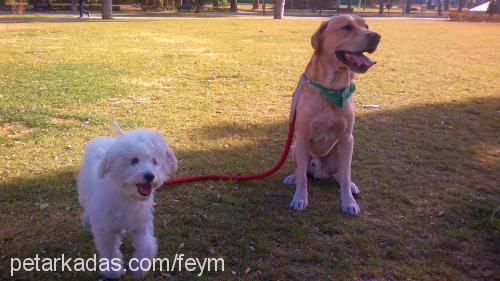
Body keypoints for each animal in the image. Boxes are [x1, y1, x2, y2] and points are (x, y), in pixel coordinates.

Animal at [77, 122, 179, 278]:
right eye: (134, 161)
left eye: (155, 161)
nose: (150, 176)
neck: (127, 196)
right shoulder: (106, 229)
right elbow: (110, 251)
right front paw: (112, 271)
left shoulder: (141, 224)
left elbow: (148, 245)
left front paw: (139, 268)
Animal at [284, 15, 380, 214]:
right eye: (347, 27)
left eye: (366, 26)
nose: (376, 36)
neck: (331, 90)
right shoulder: (302, 137)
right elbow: (303, 177)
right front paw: (300, 198)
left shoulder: (347, 137)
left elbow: (346, 174)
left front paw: (348, 202)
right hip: (295, 147)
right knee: (301, 170)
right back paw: (293, 178)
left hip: (340, 151)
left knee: (341, 173)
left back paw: (351, 185)